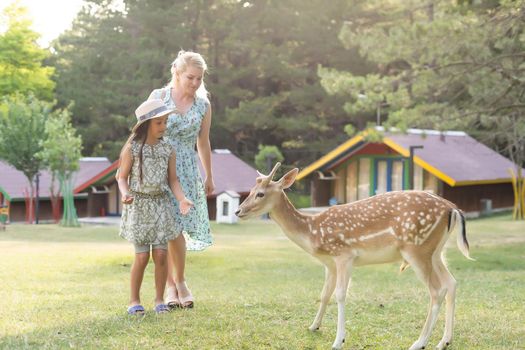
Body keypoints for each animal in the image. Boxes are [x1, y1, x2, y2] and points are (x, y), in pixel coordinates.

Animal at [235, 163, 472, 350]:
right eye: (251, 190)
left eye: (260, 193)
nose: (238, 211)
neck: (313, 232)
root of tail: (453, 209)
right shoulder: (329, 263)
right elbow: (324, 294)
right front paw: (313, 326)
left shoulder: (344, 255)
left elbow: (340, 294)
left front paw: (338, 340)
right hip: (436, 251)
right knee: (451, 282)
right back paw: (444, 341)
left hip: (417, 249)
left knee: (437, 290)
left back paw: (419, 343)